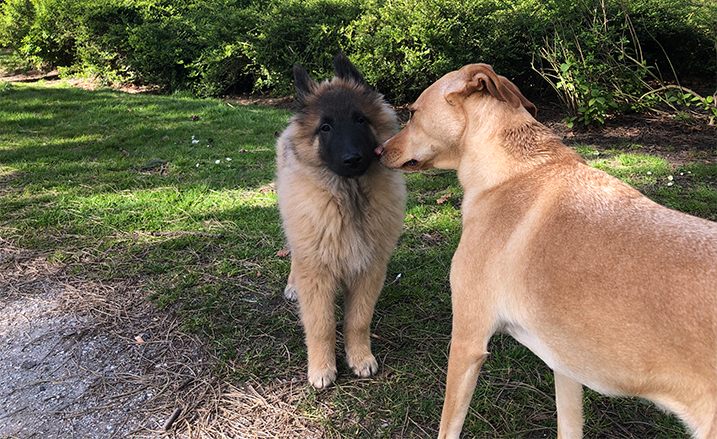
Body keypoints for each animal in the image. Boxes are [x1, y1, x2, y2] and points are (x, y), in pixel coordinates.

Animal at [276, 54, 406, 388]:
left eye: (360, 120)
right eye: (325, 127)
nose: (353, 159)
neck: (349, 199)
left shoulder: (368, 271)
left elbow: (357, 320)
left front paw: (359, 357)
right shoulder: (316, 273)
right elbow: (320, 324)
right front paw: (321, 367)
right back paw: (292, 285)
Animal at [374, 62, 716, 439]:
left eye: (412, 112)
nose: (377, 151)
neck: (514, 173)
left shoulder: (467, 341)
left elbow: (449, 426)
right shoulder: (565, 364)